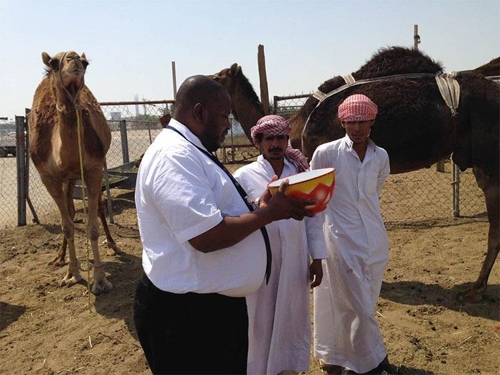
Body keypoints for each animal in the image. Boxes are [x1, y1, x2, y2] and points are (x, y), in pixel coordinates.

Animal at [29, 50, 121, 296]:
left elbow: (92, 227)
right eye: (54, 62)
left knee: (99, 206)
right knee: (69, 211)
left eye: (86, 63)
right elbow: (68, 225)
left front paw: (99, 280)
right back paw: (59, 257)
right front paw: (71, 273)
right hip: (68, 179)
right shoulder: (48, 177)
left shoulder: (93, 169)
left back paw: (112, 245)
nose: (73, 59)